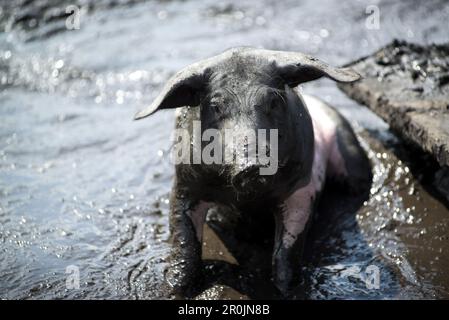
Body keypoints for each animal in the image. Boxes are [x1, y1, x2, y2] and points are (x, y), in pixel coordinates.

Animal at [133, 47, 372, 298]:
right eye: (216, 106)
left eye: (273, 101)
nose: (252, 164)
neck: (248, 200)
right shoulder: (184, 185)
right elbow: (183, 244)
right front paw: (172, 290)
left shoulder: (302, 189)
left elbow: (287, 253)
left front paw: (287, 290)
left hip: (347, 146)